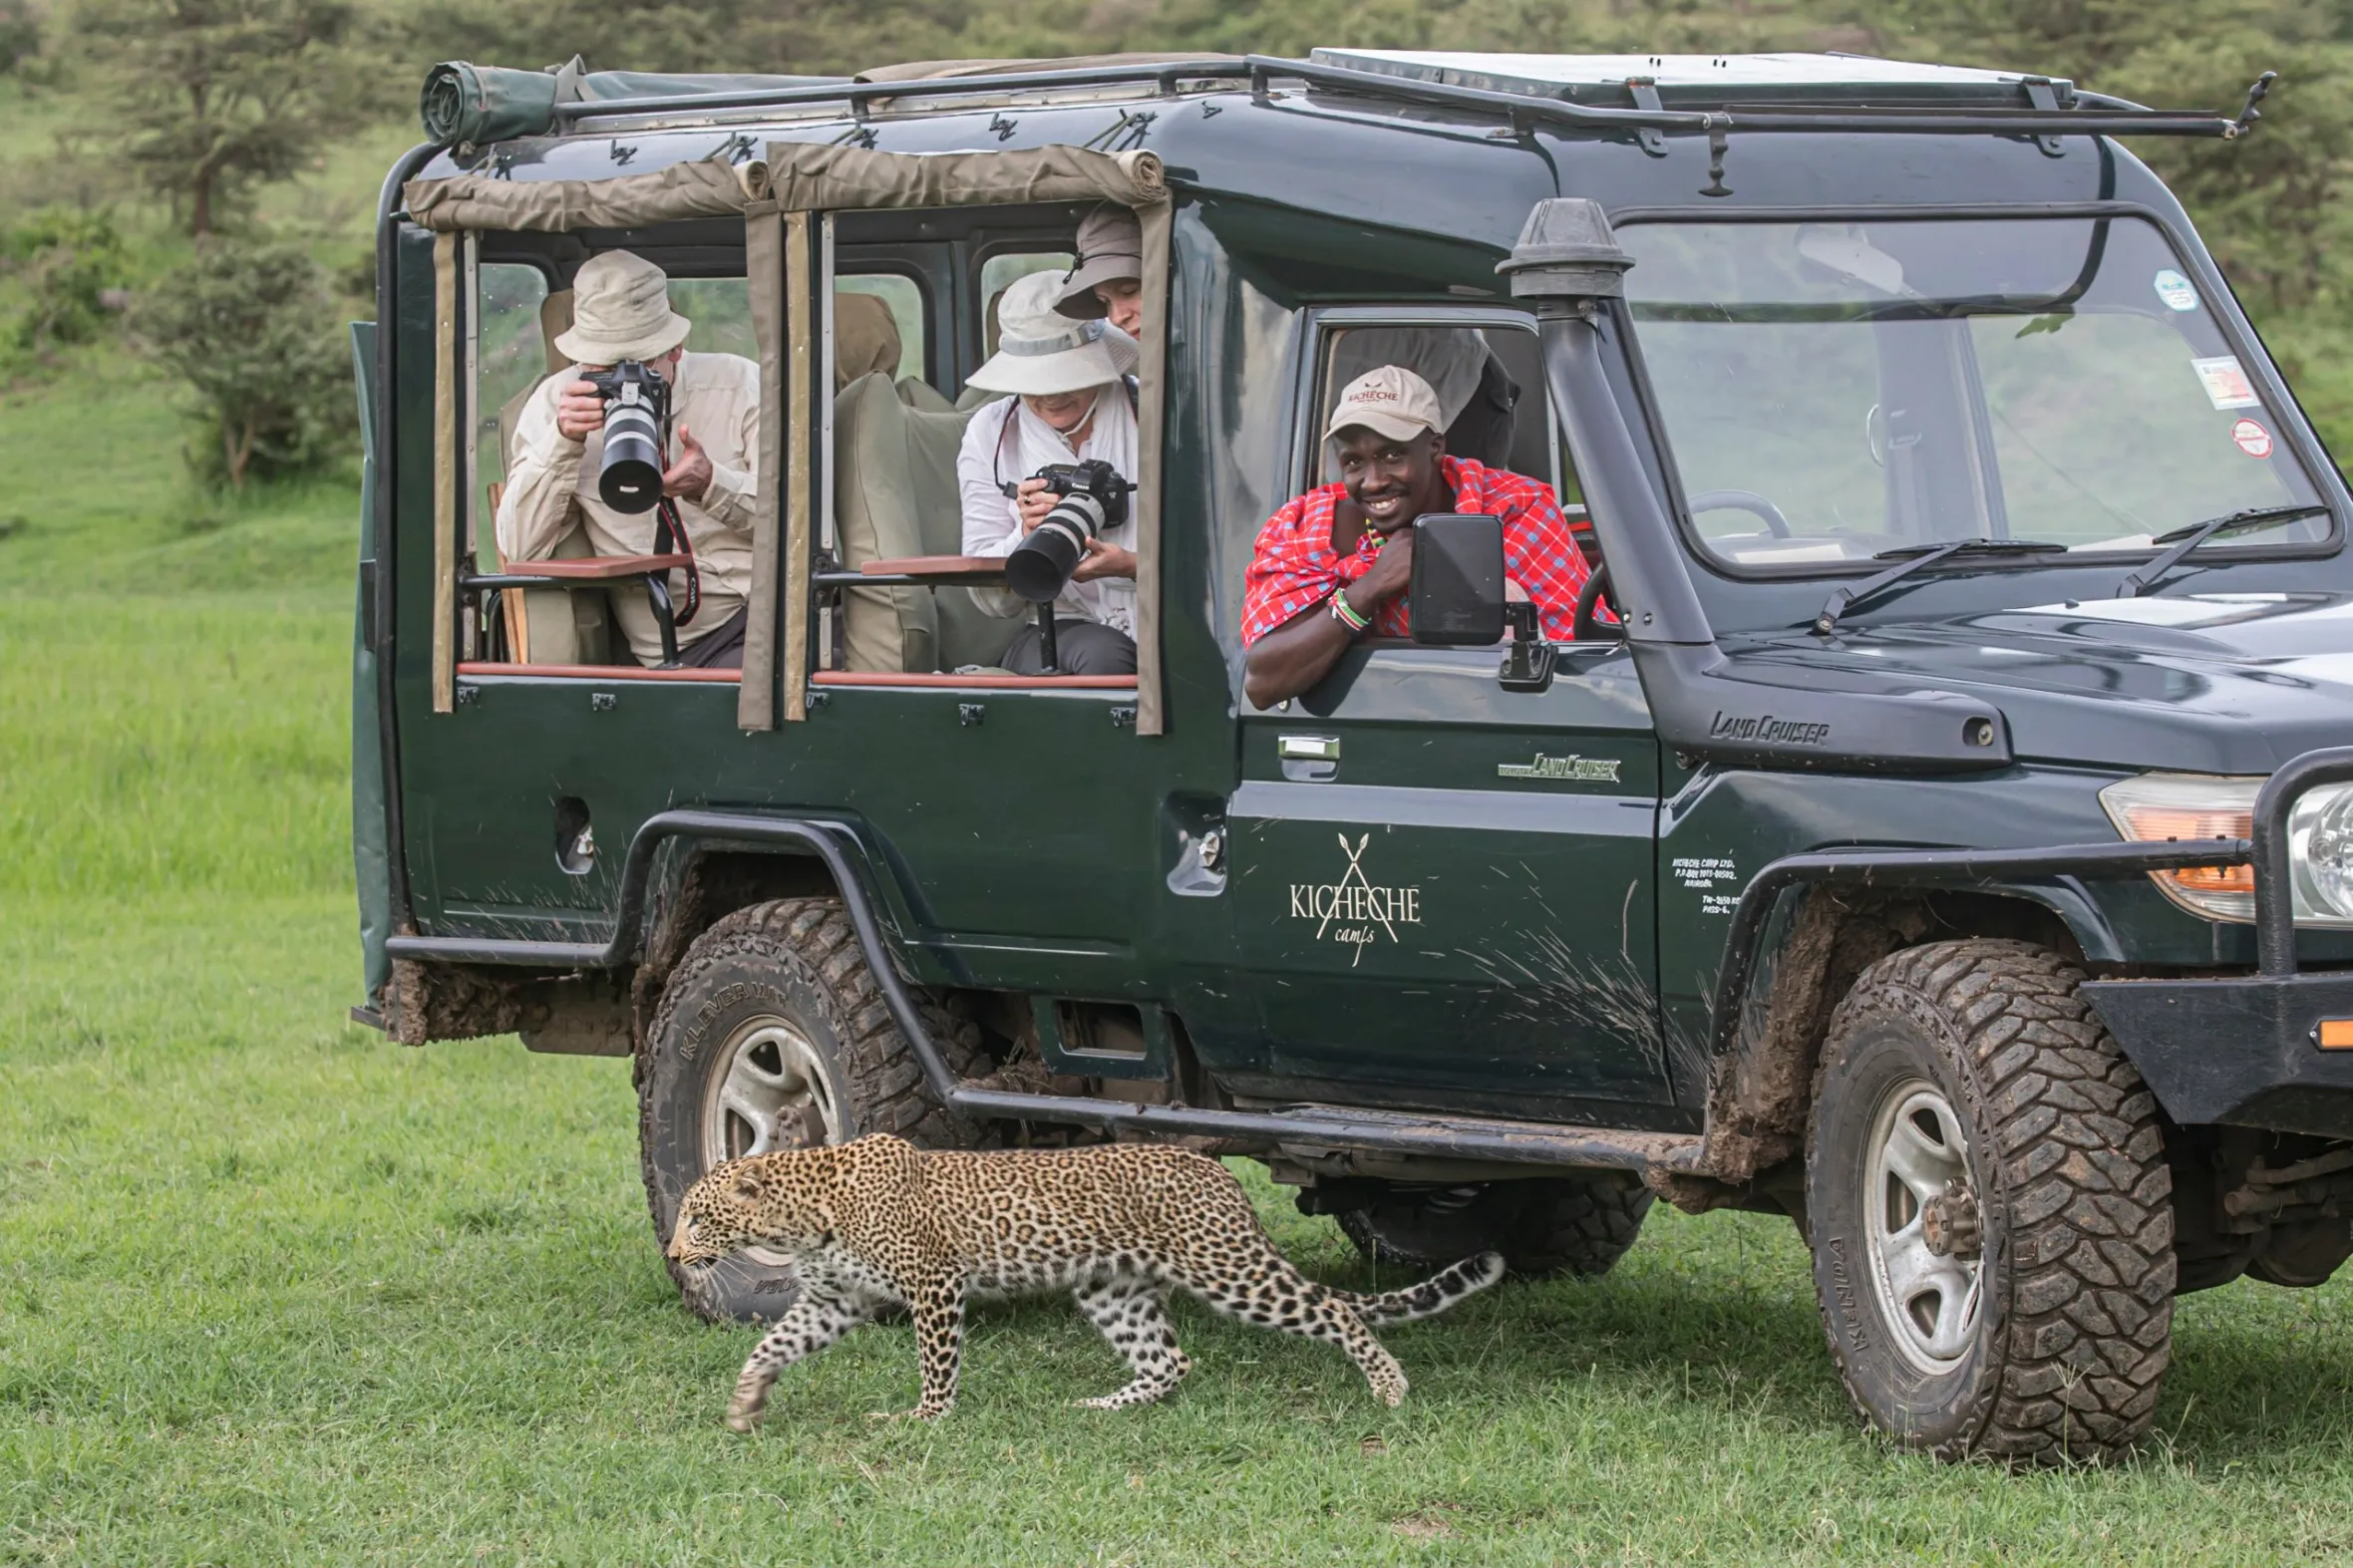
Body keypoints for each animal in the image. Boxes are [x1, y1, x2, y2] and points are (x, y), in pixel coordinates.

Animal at [666, 1133, 1506, 1424]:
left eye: (699, 1219)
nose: (674, 1254)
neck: (803, 1214)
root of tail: (1219, 1174)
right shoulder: (835, 1298)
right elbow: (773, 1342)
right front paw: (746, 1400)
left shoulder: (934, 1282)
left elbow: (936, 1360)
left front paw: (927, 1416)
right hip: (1113, 1288)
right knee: (1171, 1359)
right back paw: (1104, 1405)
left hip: (1229, 1269)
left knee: (1335, 1311)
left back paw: (1389, 1384)